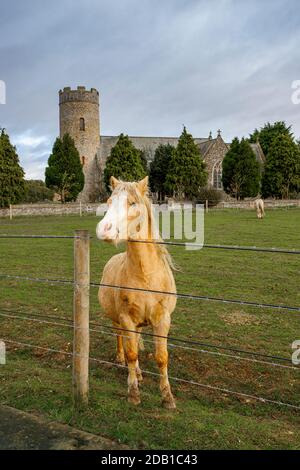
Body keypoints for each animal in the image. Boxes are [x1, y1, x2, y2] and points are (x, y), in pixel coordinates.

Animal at [95, 176, 176, 408]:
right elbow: (132, 353)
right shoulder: (126, 318)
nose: (104, 229)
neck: (145, 275)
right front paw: (133, 392)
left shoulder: (162, 319)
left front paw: (167, 396)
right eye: (109, 201)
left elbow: (162, 357)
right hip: (117, 319)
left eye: (132, 203)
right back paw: (122, 360)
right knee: (120, 338)